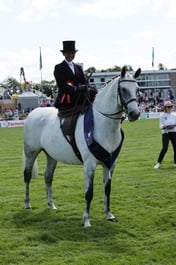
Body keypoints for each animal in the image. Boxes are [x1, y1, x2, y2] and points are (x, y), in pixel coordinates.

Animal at [23, 66, 141, 225]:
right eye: (123, 89)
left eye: (137, 89)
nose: (135, 114)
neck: (103, 124)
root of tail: (32, 113)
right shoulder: (89, 165)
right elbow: (89, 192)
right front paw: (86, 220)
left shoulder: (110, 163)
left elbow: (107, 189)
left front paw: (109, 215)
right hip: (31, 153)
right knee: (27, 176)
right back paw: (27, 204)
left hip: (51, 156)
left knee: (48, 177)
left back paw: (51, 205)